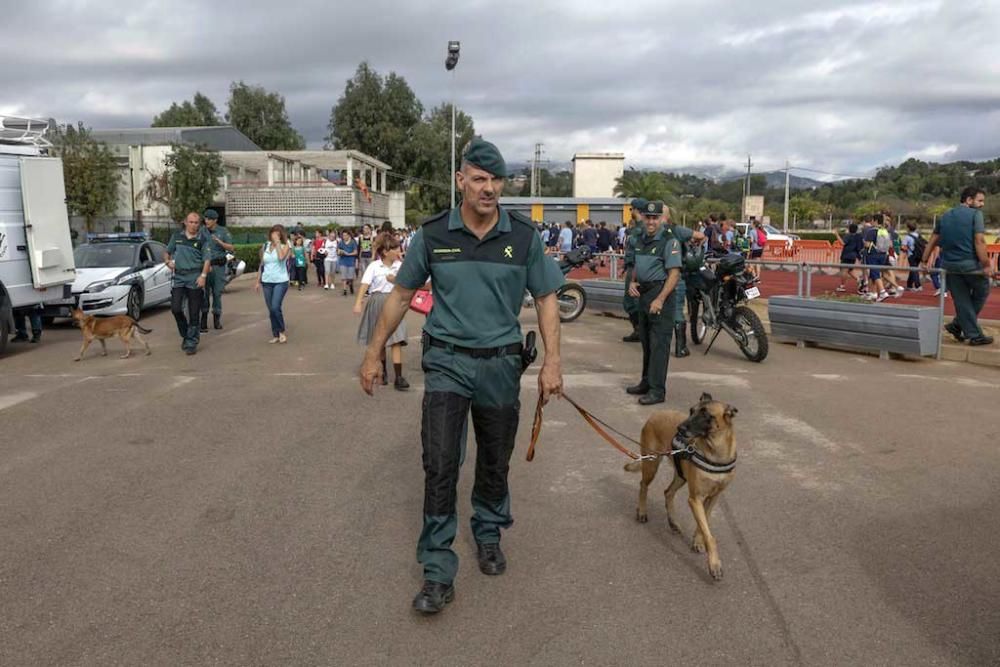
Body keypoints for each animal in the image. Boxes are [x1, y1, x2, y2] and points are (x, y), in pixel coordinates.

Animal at [620, 392, 740, 580]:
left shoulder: (713, 497)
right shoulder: (695, 499)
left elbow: (703, 525)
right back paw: (642, 512)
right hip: (651, 464)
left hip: (681, 476)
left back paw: (673, 522)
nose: (679, 428)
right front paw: (714, 564)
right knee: (643, 485)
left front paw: (698, 542)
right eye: (691, 411)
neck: (716, 451)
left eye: (706, 415)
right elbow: (709, 535)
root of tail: (655, 414)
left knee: (668, 492)